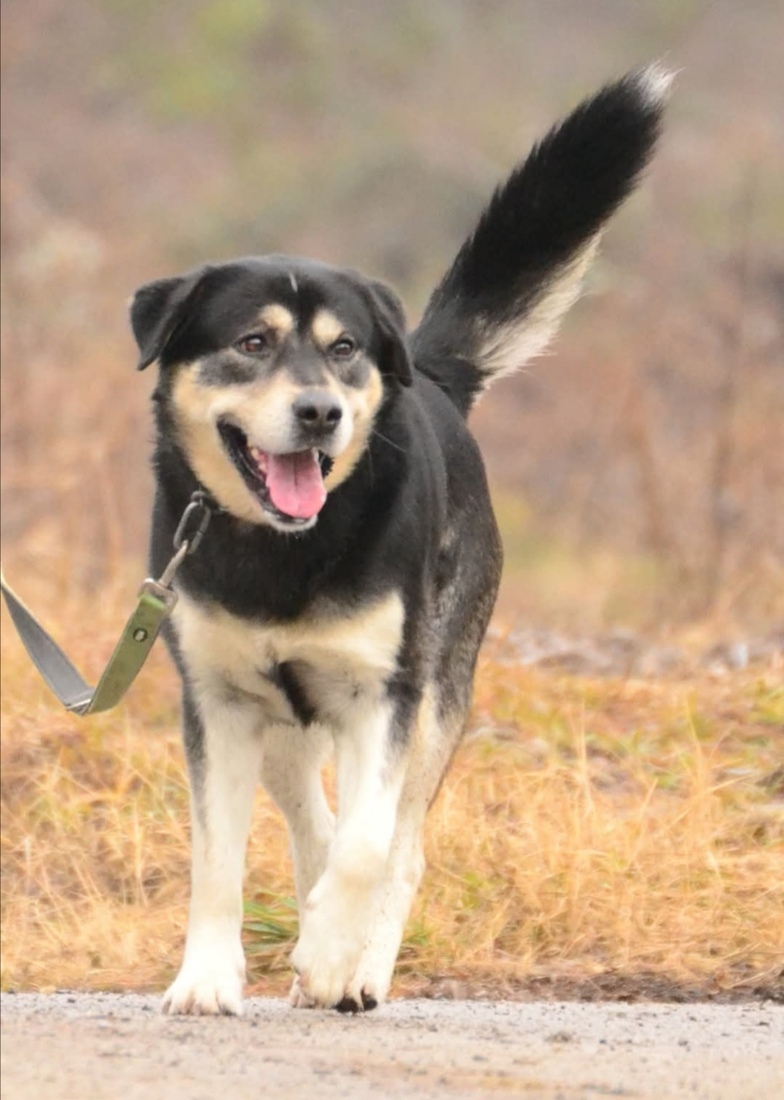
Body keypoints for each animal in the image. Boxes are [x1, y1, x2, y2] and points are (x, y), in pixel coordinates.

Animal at [131, 66, 670, 1015]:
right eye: (252, 342)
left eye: (344, 348)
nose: (321, 413)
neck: (287, 549)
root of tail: (437, 381)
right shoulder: (219, 704)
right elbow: (218, 862)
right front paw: (206, 978)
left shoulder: (385, 694)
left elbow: (367, 846)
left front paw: (331, 955)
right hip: (283, 719)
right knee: (313, 818)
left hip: (436, 700)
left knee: (397, 844)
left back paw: (353, 968)